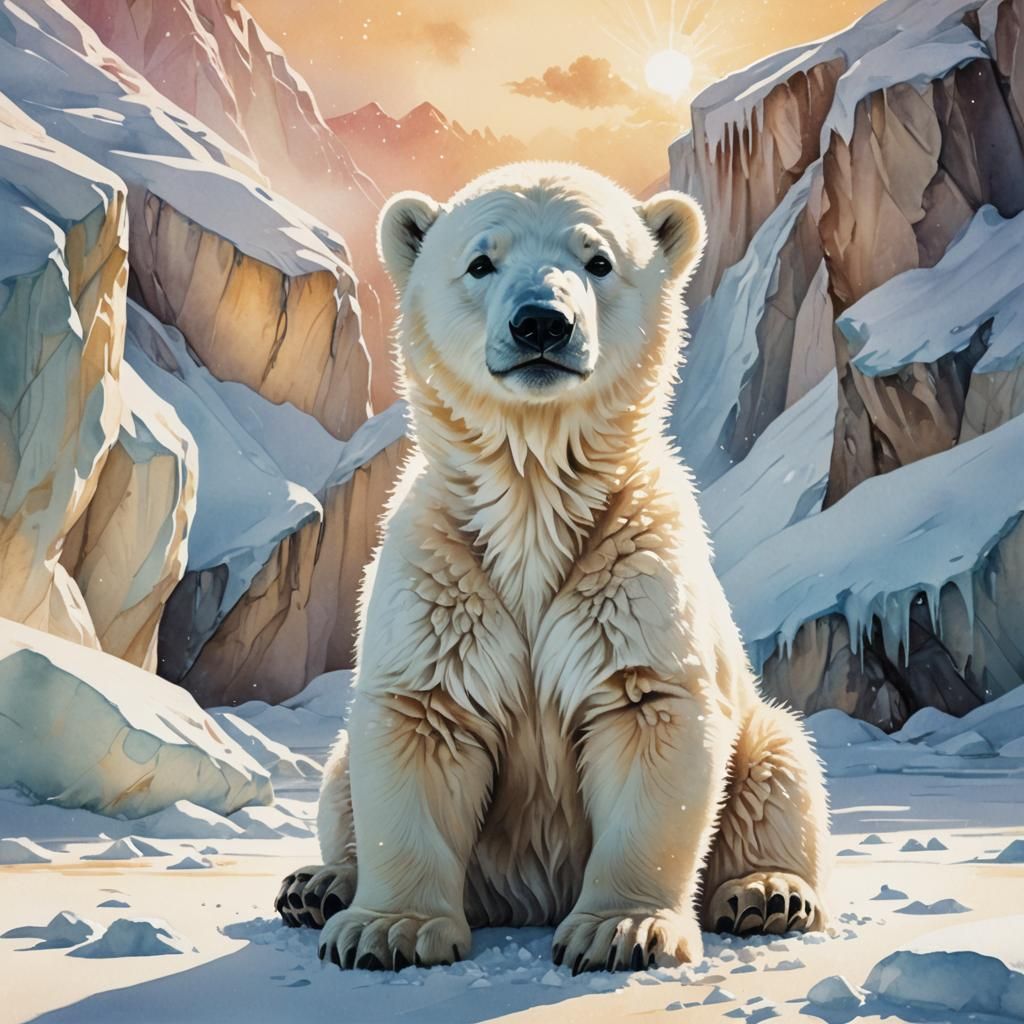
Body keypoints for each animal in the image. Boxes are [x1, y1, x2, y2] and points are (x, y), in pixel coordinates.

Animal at [277, 162, 830, 974]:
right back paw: (317, 886)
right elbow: (420, 719)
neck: (533, 499)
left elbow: (648, 717)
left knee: (781, 766)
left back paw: (769, 892)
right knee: (344, 779)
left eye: (598, 260)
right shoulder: (444, 570)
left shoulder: (631, 570)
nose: (542, 323)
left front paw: (622, 930)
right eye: (481, 261)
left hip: (758, 725)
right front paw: (388, 930)